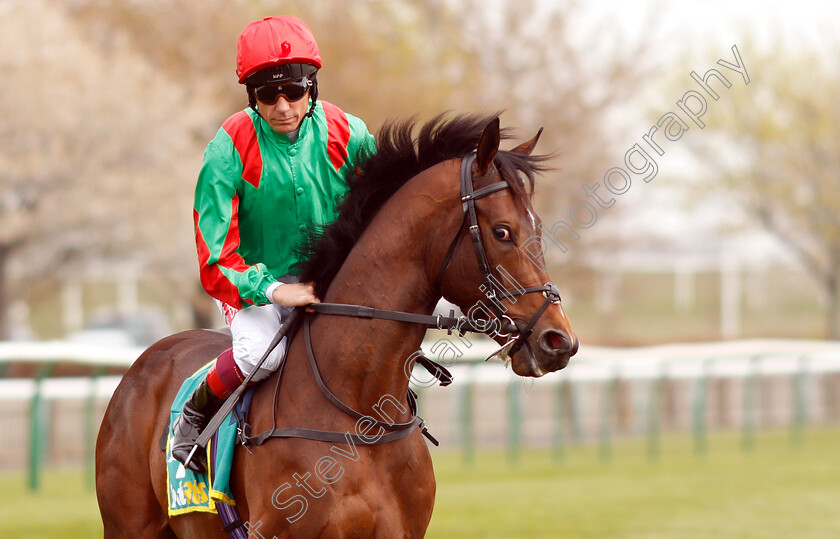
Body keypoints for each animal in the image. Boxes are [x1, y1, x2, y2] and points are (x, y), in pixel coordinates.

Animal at [93, 112, 576, 536]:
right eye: (502, 231)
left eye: (537, 227)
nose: (559, 341)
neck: (359, 417)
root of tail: (145, 362)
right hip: (128, 525)